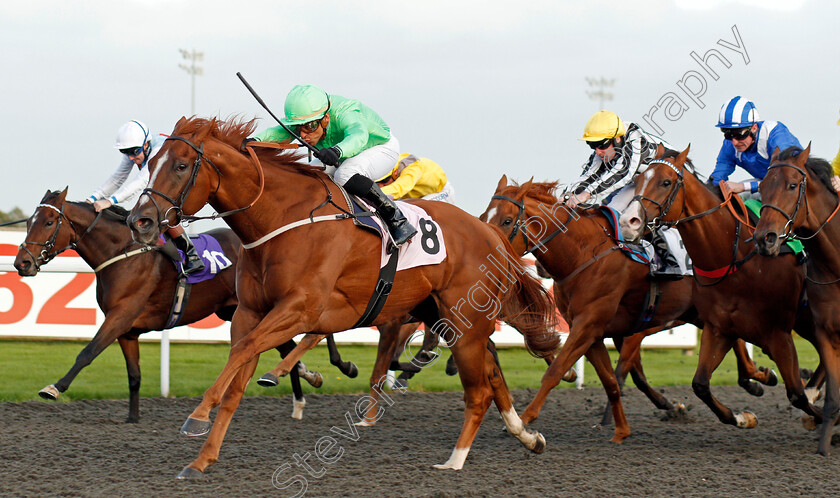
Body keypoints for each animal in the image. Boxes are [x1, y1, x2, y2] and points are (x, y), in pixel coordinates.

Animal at [13, 189, 330, 422]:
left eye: (49, 222)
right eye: (28, 222)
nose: (22, 263)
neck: (122, 254)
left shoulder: (119, 316)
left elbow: (86, 352)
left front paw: (54, 388)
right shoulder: (127, 330)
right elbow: (134, 375)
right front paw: (132, 418)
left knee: (283, 345)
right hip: (237, 310)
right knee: (285, 346)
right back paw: (302, 386)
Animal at [124, 115, 556, 476]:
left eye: (181, 166)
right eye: (150, 163)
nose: (139, 221)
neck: (282, 219)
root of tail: (491, 232)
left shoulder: (299, 310)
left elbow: (244, 351)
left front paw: (197, 416)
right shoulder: (251, 312)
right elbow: (237, 377)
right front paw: (201, 460)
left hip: (466, 322)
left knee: (479, 390)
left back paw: (456, 459)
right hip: (443, 316)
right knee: (493, 375)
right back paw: (528, 436)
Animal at [480, 175, 776, 436]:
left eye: (507, 220)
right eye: (483, 218)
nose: (490, 251)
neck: (585, 253)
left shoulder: (591, 325)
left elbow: (558, 371)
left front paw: (524, 420)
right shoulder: (595, 331)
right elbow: (616, 379)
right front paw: (630, 422)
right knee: (736, 343)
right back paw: (758, 379)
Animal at [616, 146, 820, 434]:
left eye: (666, 182)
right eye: (639, 179)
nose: (628, 222)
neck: (735, 257)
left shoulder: (778, 333)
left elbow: (796, 393)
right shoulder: (718, 327)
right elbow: (700, 384)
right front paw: (743, 415)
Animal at [752, 145, 840, 456]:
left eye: (792, 185)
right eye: (762, 186)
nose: (764, 238)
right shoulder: (825, 332)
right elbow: (833, 397)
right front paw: (824, 445)